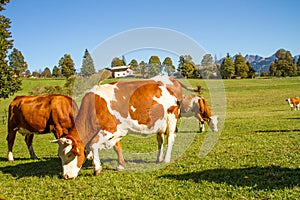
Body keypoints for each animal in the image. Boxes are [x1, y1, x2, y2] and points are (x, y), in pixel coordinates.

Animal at [51, 76, 192, 179]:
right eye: (60, 156)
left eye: (70, 154)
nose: (65, 176)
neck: (94, 105)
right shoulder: (117, 130)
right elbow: (117, 147)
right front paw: (120, 165)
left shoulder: (110, 128)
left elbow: (93, 144)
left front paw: (97, 168)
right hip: (160, 123)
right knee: (160, 140)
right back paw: (159, 158)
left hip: (172, 117)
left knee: (170, 138)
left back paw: (166, 159)